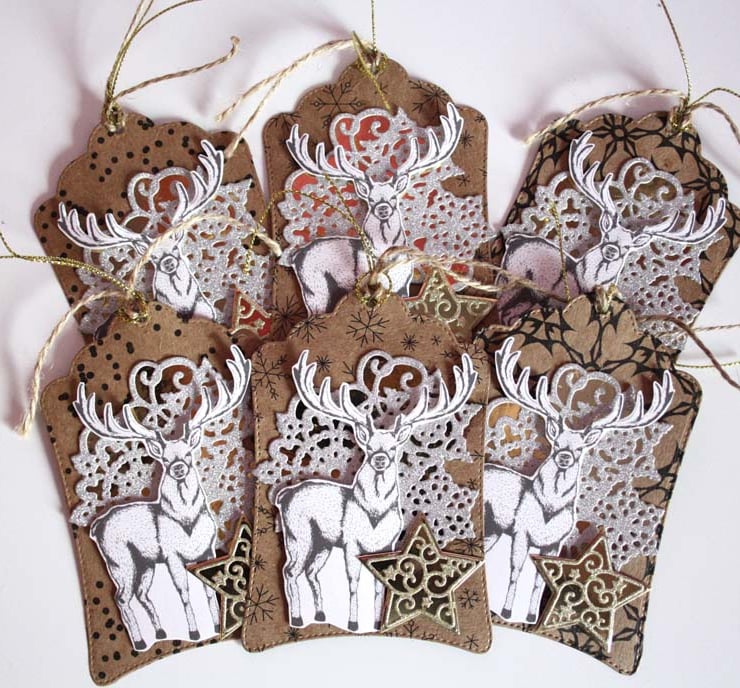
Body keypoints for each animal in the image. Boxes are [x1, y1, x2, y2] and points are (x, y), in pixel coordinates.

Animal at [75, 345, 250, 650]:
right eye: (165, 460)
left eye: (189, 453)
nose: (178, 468)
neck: (187, 519)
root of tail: (96, 527)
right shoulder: (171, 556)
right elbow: (184, 593)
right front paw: (196, 632)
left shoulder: (207, 551)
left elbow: (208, 590)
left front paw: (217, 624)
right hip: (120, 561)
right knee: (122, 597)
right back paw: (140, 641)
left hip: (144, 563)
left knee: (140, 594)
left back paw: (159, 632)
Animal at [276, 349, 477, 632]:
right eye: (368, 446)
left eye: (394, 448)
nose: (380, 459)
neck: (375, 512)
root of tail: (283, 496)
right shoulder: (351, 542)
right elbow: (353, 582)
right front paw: (353, 623)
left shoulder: (386, 546)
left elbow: (379, 586)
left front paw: (376, 621)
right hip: (299, 534)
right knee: (290, 571)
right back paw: (297, 618)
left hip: (322, 542)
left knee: (310, 572)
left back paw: (320, 614)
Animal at [282, 102, 464, 315]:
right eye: (370, 199)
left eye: (394, 197)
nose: (383, 209)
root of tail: (296, 256)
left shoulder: (403, 287)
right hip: (315, 288)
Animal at [483, 337, 674, 623]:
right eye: (556, 441)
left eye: (580, 448)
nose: (564, 457)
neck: (549, 507)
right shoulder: (521, 532)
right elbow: (515, 571)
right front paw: (506, 611)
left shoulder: (553, 544)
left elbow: (540, 578)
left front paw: (530, 616)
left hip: (494, 529)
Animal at [498, 130, 727, 324]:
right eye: (606, 235)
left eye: (628, 248)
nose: (611, 250)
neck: (586, 282)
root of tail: (515, 240)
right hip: (511, 283)